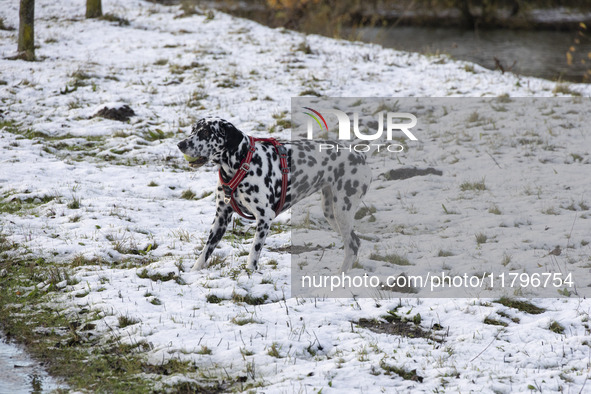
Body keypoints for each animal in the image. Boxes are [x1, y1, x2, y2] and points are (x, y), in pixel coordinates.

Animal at [177, 115, 370, 272]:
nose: (180, 144)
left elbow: (253, 254)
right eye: (193, 130)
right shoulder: (221, 218)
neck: (242, 163)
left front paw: (249, 273)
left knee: (352, 245)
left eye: (206, 132)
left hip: (342, 211)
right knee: (354, 243)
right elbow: (205, 252)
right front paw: (193, 273)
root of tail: (359, 155)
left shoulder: (264, 217)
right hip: (331, 213)